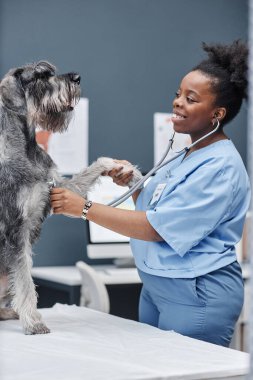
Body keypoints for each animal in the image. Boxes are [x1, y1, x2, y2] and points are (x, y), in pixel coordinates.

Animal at [0, 60, 142, 334]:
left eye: (51, 70)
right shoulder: (16, 228)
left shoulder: (59, 190)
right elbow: (24, 279)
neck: (26, 148)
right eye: (39, 77)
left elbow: (90, 170)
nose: (76, 78)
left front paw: (123, 169)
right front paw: (34, 322)